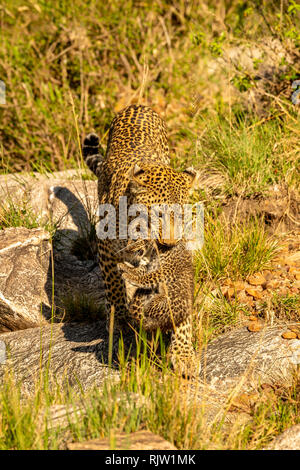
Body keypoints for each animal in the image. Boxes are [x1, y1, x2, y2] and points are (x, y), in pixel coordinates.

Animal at [83, 103, 198, 374]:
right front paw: (120, 319)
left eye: (182, 215)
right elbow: (114, 285)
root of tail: (138, 105)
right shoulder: (106, 248)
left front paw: (184, 353)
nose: (169, 244)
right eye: (158, 214)